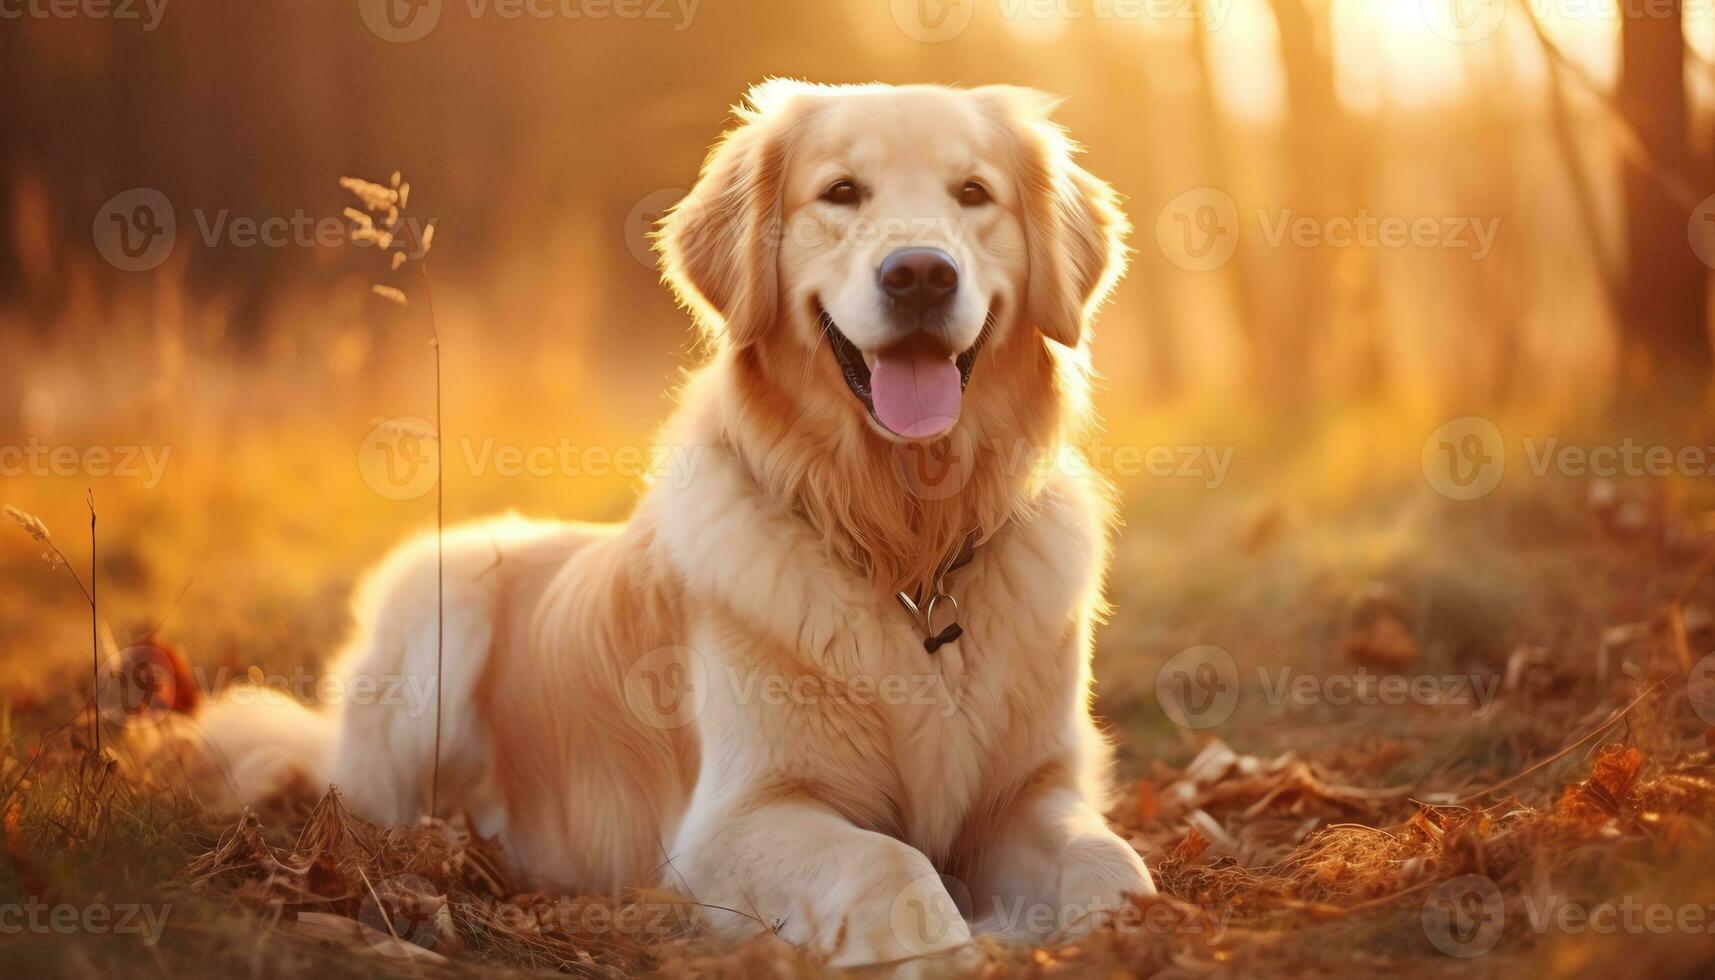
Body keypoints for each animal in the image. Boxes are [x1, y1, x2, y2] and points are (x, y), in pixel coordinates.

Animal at [194, 80, 1159, 967]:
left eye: (973, 193)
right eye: (841, 192)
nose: (919, 273)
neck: (905, 549)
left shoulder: (1032, 787)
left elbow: (1112, 862)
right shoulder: (729, 822)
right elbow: (891, 865)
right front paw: (954, 950)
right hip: (436, 620)